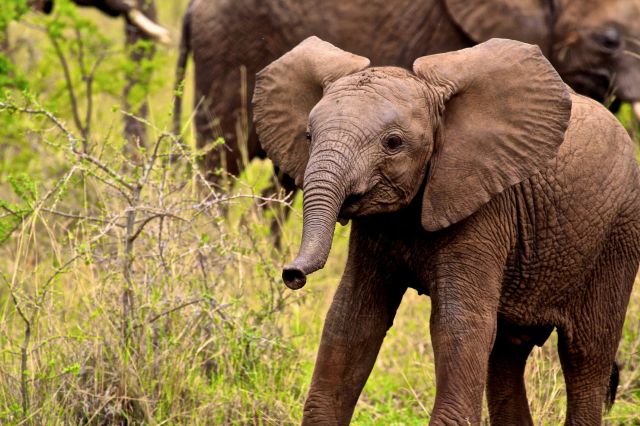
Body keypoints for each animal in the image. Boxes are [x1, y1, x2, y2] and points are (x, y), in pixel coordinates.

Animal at [252, 37, 640, 425]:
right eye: (308, 136)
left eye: (393, 143)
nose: (291, 274)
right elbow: (352, 321)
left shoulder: (484, 206)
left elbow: (458, 327)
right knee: (506, 353)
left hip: (619, 235)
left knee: (585, 354)